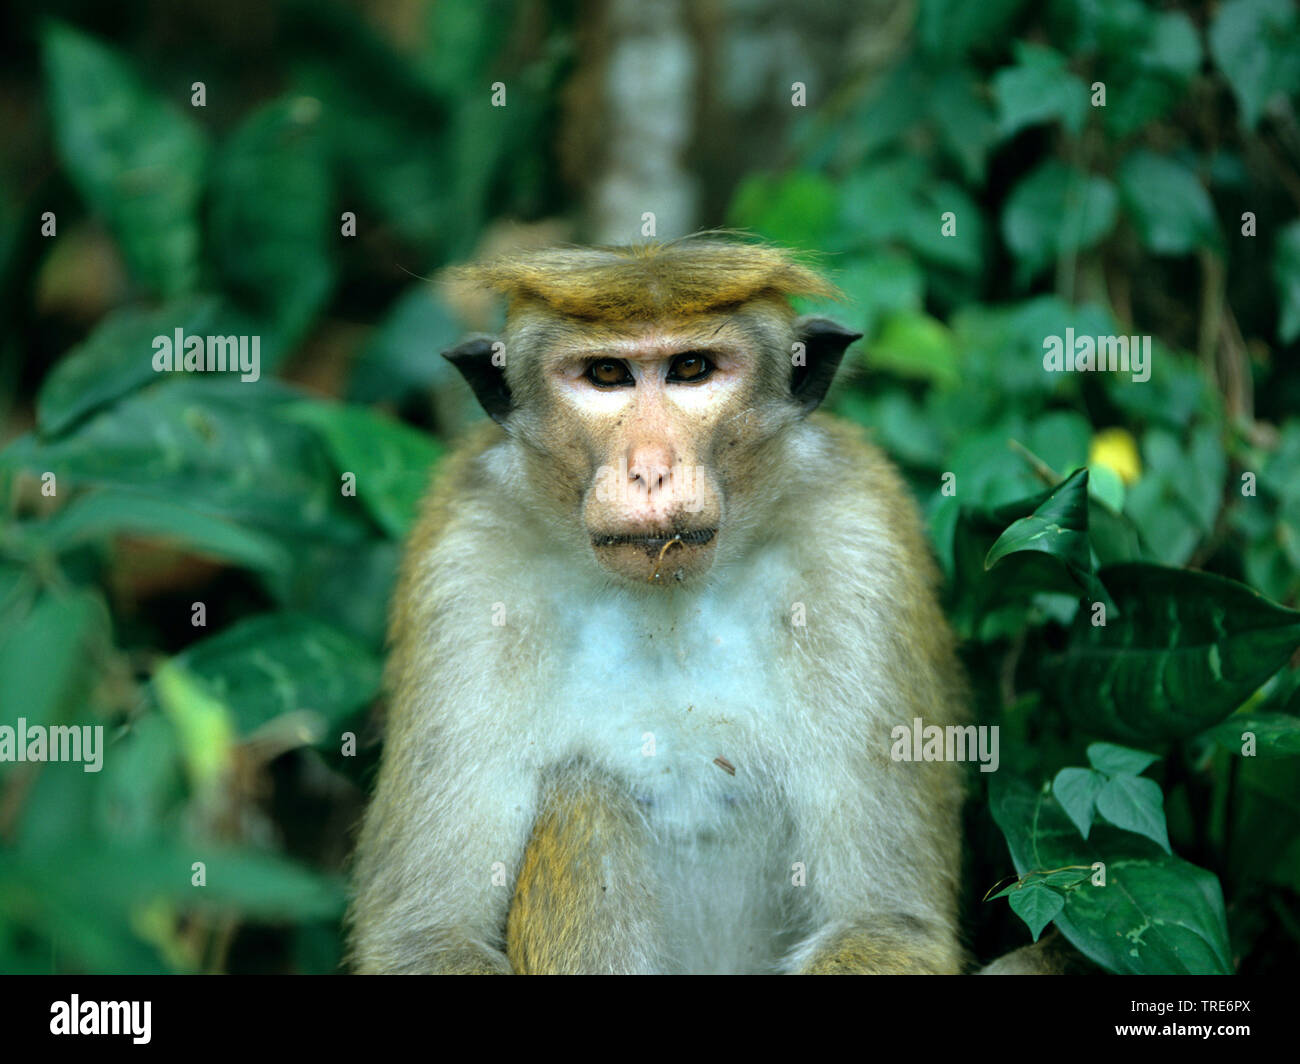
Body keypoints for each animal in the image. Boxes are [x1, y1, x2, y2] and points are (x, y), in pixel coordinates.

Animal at [346, 236, 970, 974]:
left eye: (691, 368)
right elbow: (427, 933)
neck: (665, 601)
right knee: (584, 801)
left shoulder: (857, 538)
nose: (650, 469)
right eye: (607, 373)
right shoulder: (467, 559)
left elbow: (884, 920)